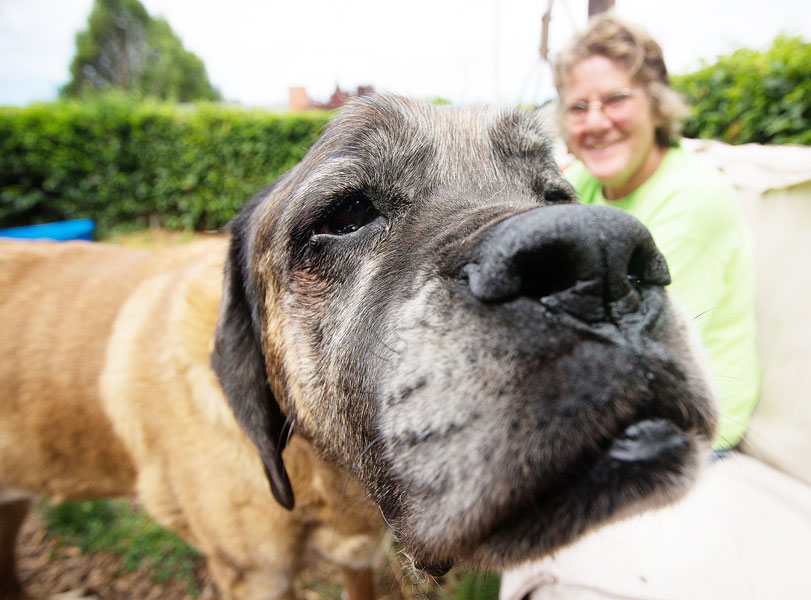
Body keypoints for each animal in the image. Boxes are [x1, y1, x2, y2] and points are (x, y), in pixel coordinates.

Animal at [0, 94, 712, 600]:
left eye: (556, 195)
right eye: (344, 215)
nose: (602, 259)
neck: (322, 474)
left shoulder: (358, 559)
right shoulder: (252, 579)